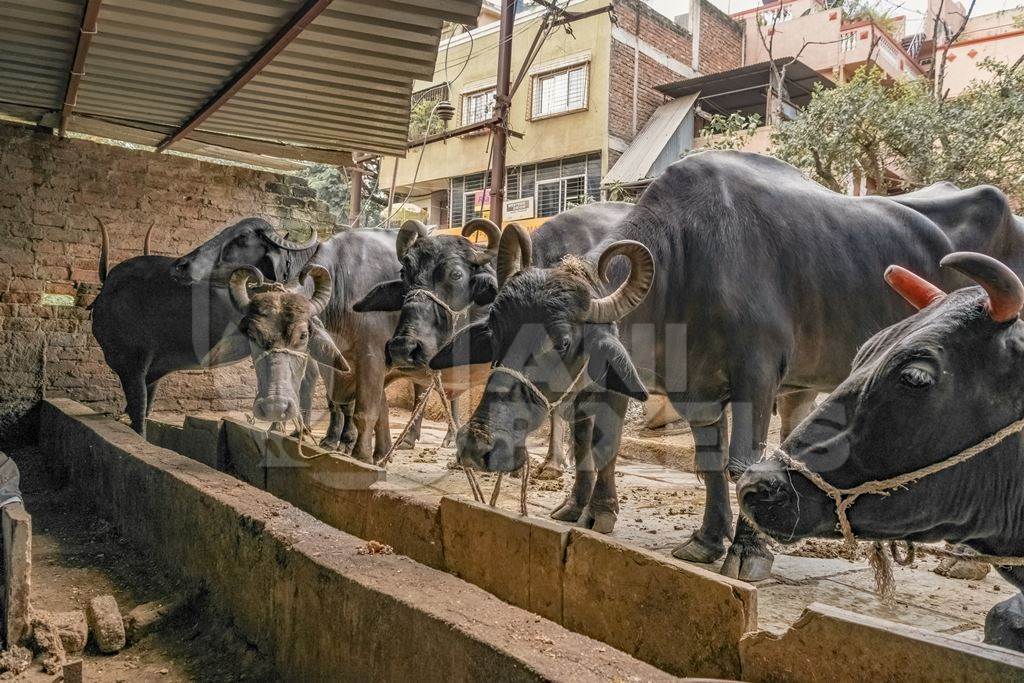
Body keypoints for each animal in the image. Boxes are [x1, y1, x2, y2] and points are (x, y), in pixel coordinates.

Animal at [430, 150, 1024, 581]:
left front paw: (746, 552)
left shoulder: (754, 377)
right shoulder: (692, 388)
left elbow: (740, 460)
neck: (689, 263)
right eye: (497, 333)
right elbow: (701, 461)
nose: (479, 445)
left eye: (563, 340)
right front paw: (703, 539)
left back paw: (965, 562)